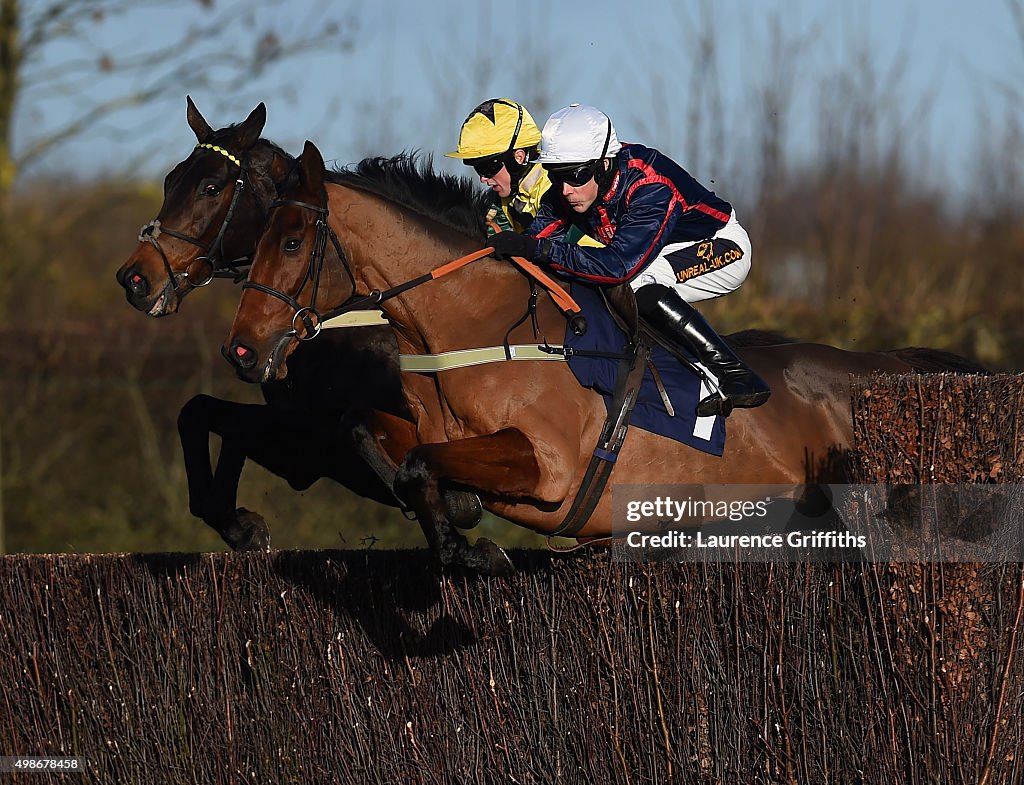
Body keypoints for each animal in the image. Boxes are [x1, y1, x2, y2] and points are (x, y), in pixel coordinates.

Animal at [222, 141, 983, 569]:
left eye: (291, 241)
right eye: (253, 239)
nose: (242, 350)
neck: (474, 322)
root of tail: (880, 371)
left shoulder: (550, 467)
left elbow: (422, 464)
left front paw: (468, 531)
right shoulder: (423, 426)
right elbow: (378, 440)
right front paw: (460, 536)